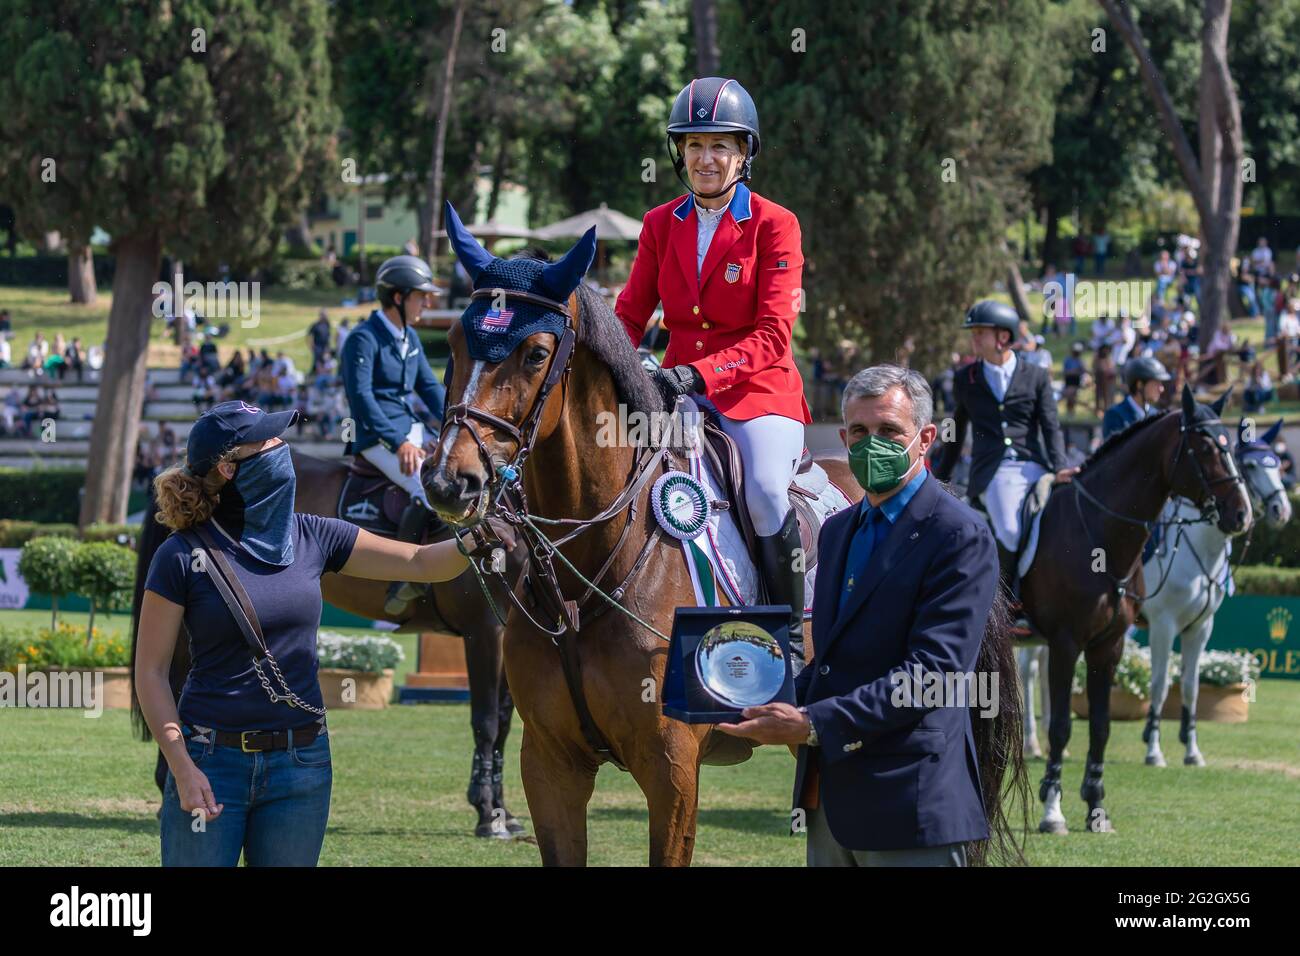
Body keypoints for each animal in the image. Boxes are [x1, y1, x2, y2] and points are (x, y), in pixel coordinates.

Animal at [130, 447, 527, 837]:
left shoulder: (506, 636)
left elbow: (505, 721)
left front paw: (502, 812)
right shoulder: (483, 632)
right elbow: (487, 722)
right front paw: (487, 813)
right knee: (174, 686)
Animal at [1019, 385, 1253, 832]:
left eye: (1232, 447)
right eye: (1205, 448)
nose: (1242, 514)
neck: (1096, 535)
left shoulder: (1112, 645)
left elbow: (1102, 725)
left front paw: (1095, 806)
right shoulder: (1072, 641)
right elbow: (1063, 726)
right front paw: (1052, 809)